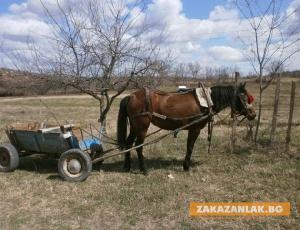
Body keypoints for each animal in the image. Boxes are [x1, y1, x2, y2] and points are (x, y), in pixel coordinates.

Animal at [117, 83, 255, 173]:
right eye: (243, 96)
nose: (253, 114)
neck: (206, 101)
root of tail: (131, 96)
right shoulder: (195, 129)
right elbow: (190, 147)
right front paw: (186, 166)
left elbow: (189, 146)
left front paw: (185, 165)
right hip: (142, 127)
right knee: (138, 146)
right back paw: (143, 169)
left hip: (134, 126)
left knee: (129, 143)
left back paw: (127, 167)